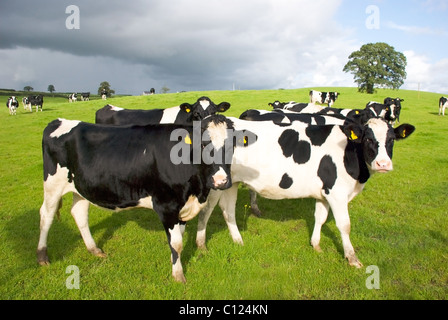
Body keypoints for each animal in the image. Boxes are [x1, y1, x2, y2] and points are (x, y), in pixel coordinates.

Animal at [37, 114, 256, 282]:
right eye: (203, 144)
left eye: (232, 146)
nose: (221, 181)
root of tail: (59, 121)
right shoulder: (166, 206)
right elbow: (176, 243)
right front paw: (178, 276)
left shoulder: (183, 207)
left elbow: (179, 238)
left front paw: (176, 265)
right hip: (53, 184)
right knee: (46, 216)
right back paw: (42, 256)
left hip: (80, 188)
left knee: (79, 214)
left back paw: (94, 249)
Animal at [198, 117, 414, 268]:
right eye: (368, 139)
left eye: (392, 140)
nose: (383, 164)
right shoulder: (336, 193)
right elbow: (345, 226)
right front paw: (352, 258)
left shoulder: (324, 192)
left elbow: (320, 218)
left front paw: (316, 245)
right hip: (216, 182)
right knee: (206, 210)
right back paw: (201, 245)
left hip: (231, 183)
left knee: (227, 210)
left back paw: (237, 240)